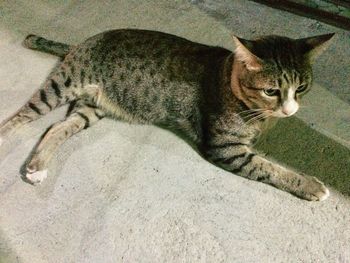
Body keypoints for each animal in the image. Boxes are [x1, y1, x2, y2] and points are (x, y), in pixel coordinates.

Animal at [0, 28, 334, 201]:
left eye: (301, 87)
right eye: (271, 91)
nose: (290, 109)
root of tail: (81, 43)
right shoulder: (226, 150)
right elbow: (270, 167)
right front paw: (311, 186)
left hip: (92, 108)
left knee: (56, 127)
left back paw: (37, 167)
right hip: (61, 86)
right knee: (21, 116)